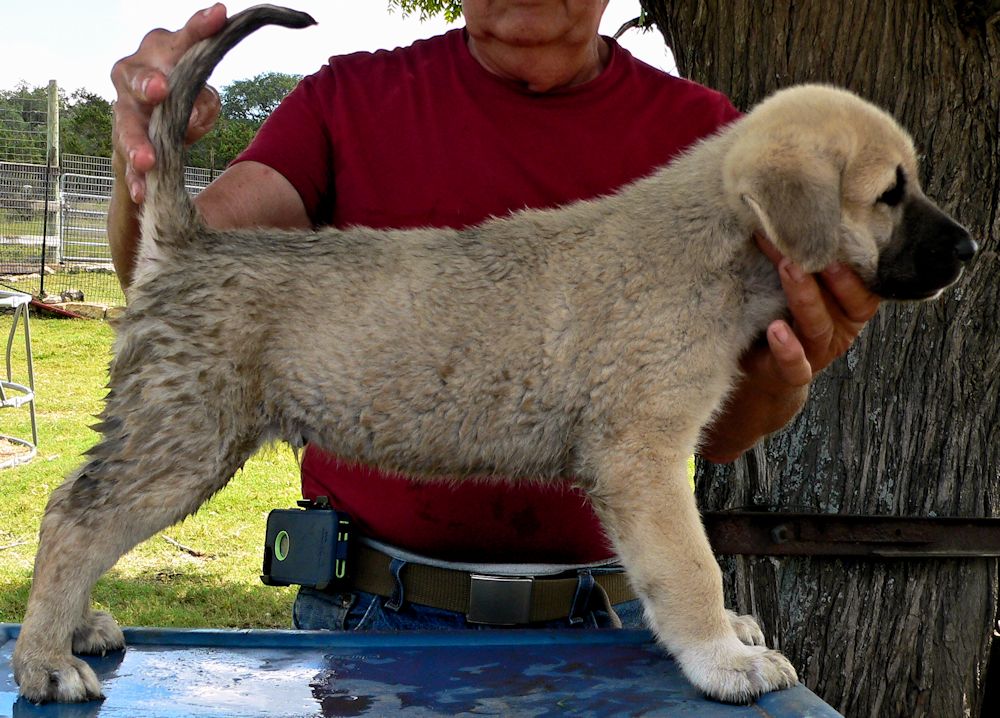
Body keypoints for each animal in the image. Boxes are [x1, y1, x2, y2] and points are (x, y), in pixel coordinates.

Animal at [9, 2, 976, 704]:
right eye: (891, 193)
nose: (969, 251)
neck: (713, 244)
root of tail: (188, 239)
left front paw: (729, 637)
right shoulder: (643, 458)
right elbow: (689, 567)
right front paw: (720, 657)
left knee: (81, 511)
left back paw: (74, 628)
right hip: (185, 438)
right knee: (74, 518)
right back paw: (46, 660)